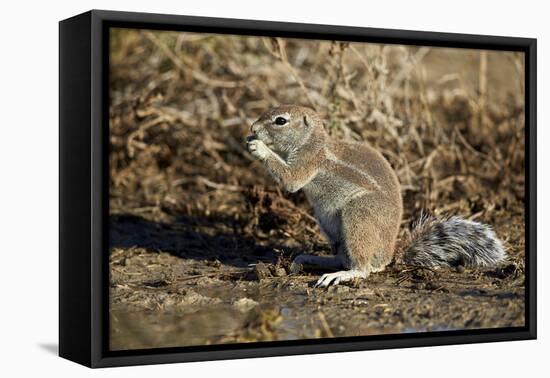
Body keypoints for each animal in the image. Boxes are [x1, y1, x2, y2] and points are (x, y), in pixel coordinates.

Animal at [248, 105, 506, 288]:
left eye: (280, 120)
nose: (252, 128)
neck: (313, 142)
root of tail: (391, 254)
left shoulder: (308, 162)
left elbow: (291, 179)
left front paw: (259, 147)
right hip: (332, 229)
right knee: (343, 257)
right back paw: (313, 260)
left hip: (358, 215)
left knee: (364, 267)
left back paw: (341, 275)